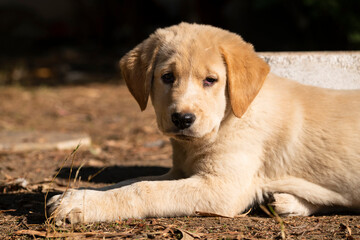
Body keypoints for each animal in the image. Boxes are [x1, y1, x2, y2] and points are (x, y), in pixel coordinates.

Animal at [47, 22, 360, 223]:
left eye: (211, 80)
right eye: (167, 77)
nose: (182, 119)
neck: (227, 120)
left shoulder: (221, 187)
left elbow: (144, 189)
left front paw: (81, 204)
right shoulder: (180, 172)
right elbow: (131, 180)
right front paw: (74, 196)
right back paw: (285, 202)